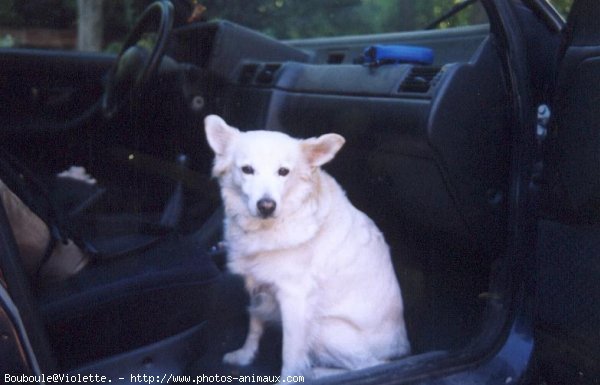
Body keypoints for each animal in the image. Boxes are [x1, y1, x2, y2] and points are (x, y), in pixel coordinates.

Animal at [204, 115, 410, 378]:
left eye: (283, 172)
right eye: (247, 170)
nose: (266, 206)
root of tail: (401, 350)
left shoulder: (296, 298)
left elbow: (291, 353)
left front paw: (289, 379)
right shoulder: (260, 284)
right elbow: (254, 324)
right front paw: (245, 356)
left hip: (327, 327)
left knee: (372, 365)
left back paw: (319, 373)